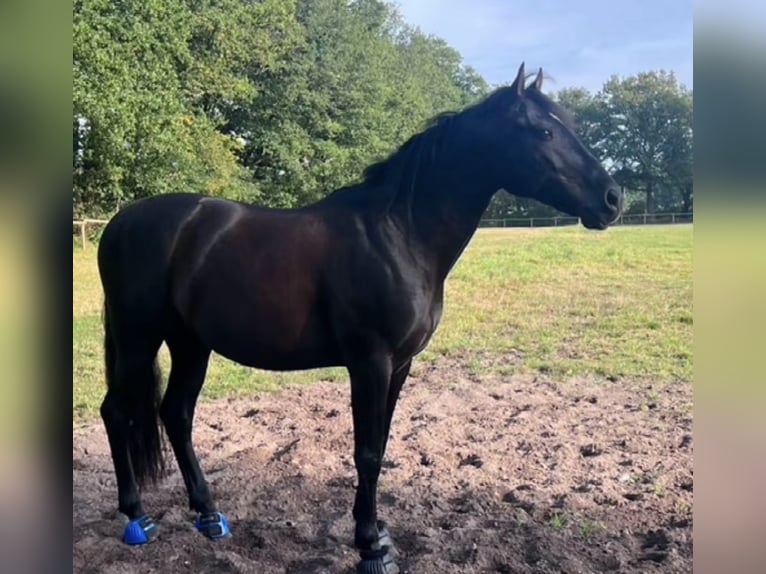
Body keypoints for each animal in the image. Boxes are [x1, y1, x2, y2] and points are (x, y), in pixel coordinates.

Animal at [96, 65, 624, 572]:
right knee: (117, 412)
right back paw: (137, 516)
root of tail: (120, 222)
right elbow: (367, 452)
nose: (613, 199)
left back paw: (208, 514)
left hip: (190, 343)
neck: (400, 232)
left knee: (176, 414)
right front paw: (371, 546)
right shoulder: (370, 362)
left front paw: (375, 531)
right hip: (139, 339)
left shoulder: (400, 365)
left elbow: (381, 444)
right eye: (543, 131)